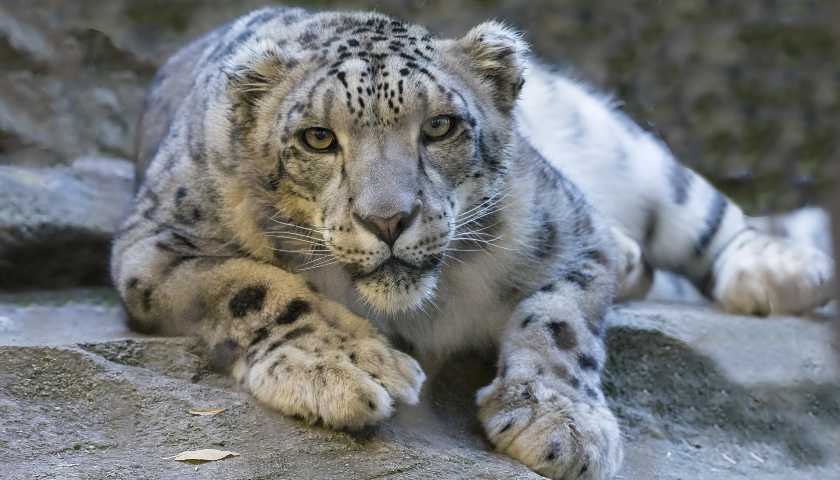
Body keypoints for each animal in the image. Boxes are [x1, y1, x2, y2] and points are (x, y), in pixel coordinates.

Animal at [110, 7, 832, 480]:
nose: (388, 219)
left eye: (440, 127)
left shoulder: (572, 228)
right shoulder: (156, 245)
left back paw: (783, 270)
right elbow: (253, 284)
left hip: (619, 145)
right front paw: (346, 367)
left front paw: (559, 423)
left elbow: (562, 318)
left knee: (702, 209)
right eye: (317, 137)